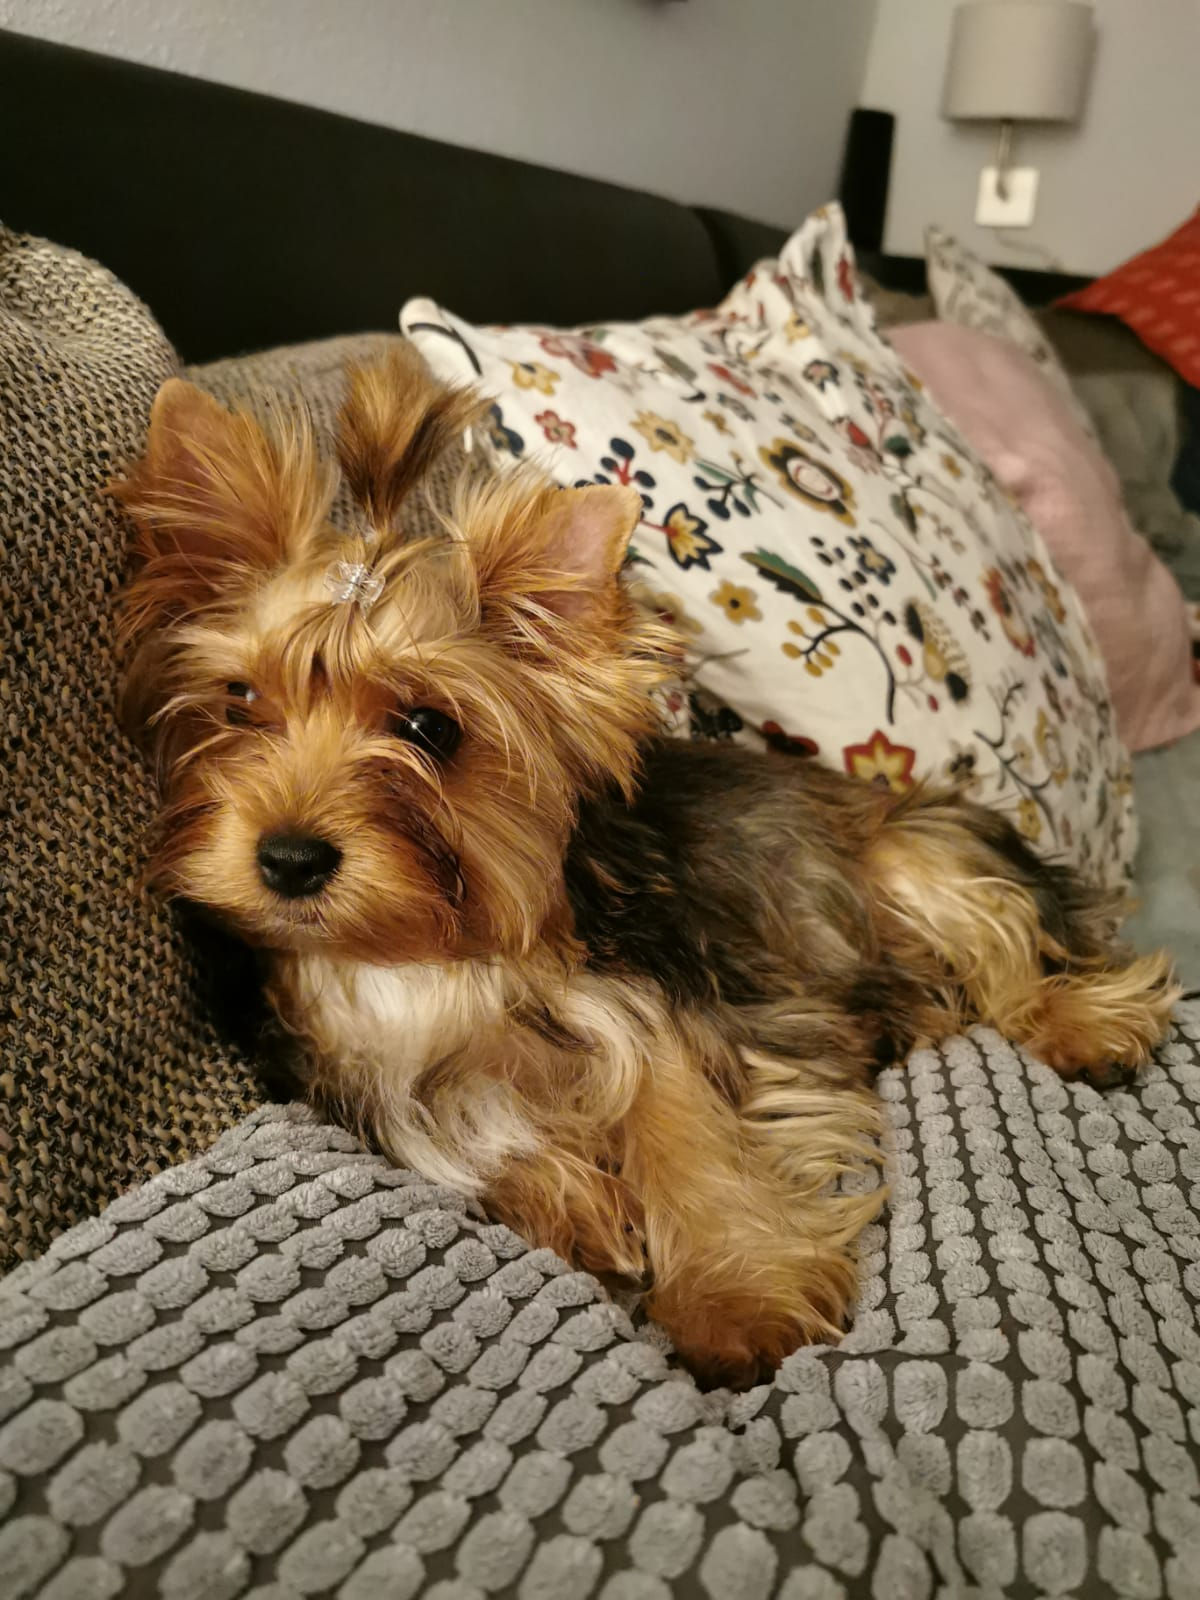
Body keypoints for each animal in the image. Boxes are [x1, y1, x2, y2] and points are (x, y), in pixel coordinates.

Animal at [116, 350, 1178, 1386]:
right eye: (239, 702)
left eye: (428, 728)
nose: (290, 858)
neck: (415, 956)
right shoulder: (373, 1086)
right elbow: (478, 1151)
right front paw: (579, 1206)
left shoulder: (661, 1009)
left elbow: (688, 1128)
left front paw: (737, 1301)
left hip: (916, 855)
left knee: (1011, 948)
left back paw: (1082, 1022)